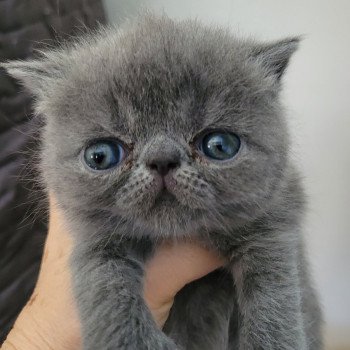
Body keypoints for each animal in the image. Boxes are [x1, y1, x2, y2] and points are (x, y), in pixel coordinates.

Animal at [2, 14, 324, 350]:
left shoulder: (276, 217)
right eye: (100, 156)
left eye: (220, 146)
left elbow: (274, 292)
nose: (162, 159)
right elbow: (106, 291)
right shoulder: (93, 240)